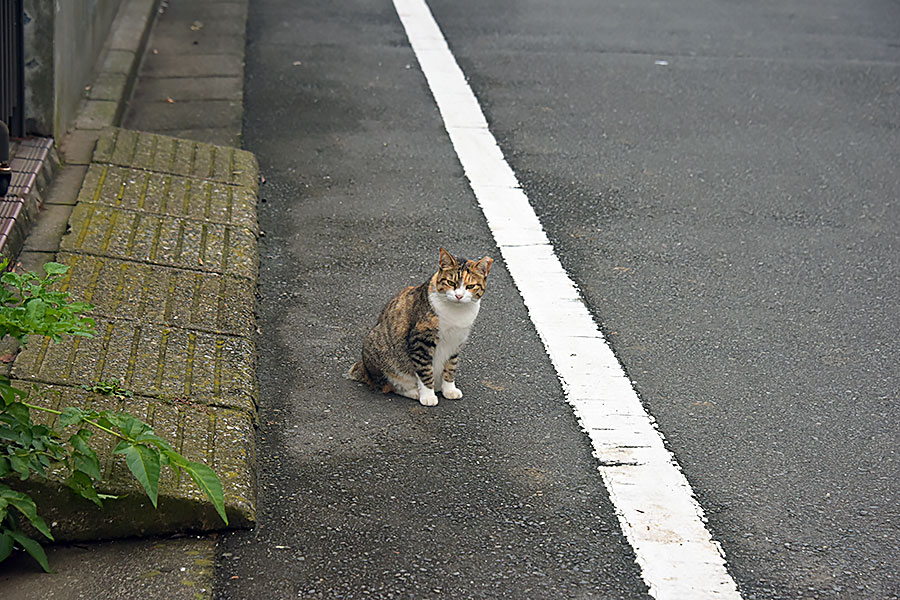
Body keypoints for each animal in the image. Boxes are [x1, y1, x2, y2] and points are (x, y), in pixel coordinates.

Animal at [350, 246, 492, 406]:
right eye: (450, 282)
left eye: (470, 286)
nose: (459, 296)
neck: (456, 312)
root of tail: (363, 368)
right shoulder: (421, 341)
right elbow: (425, 371)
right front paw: (428, 396)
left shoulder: (456, 342)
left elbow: (450, 367)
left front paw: (449, 390)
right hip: (376, 347)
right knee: (388, 386)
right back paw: (414, 392)